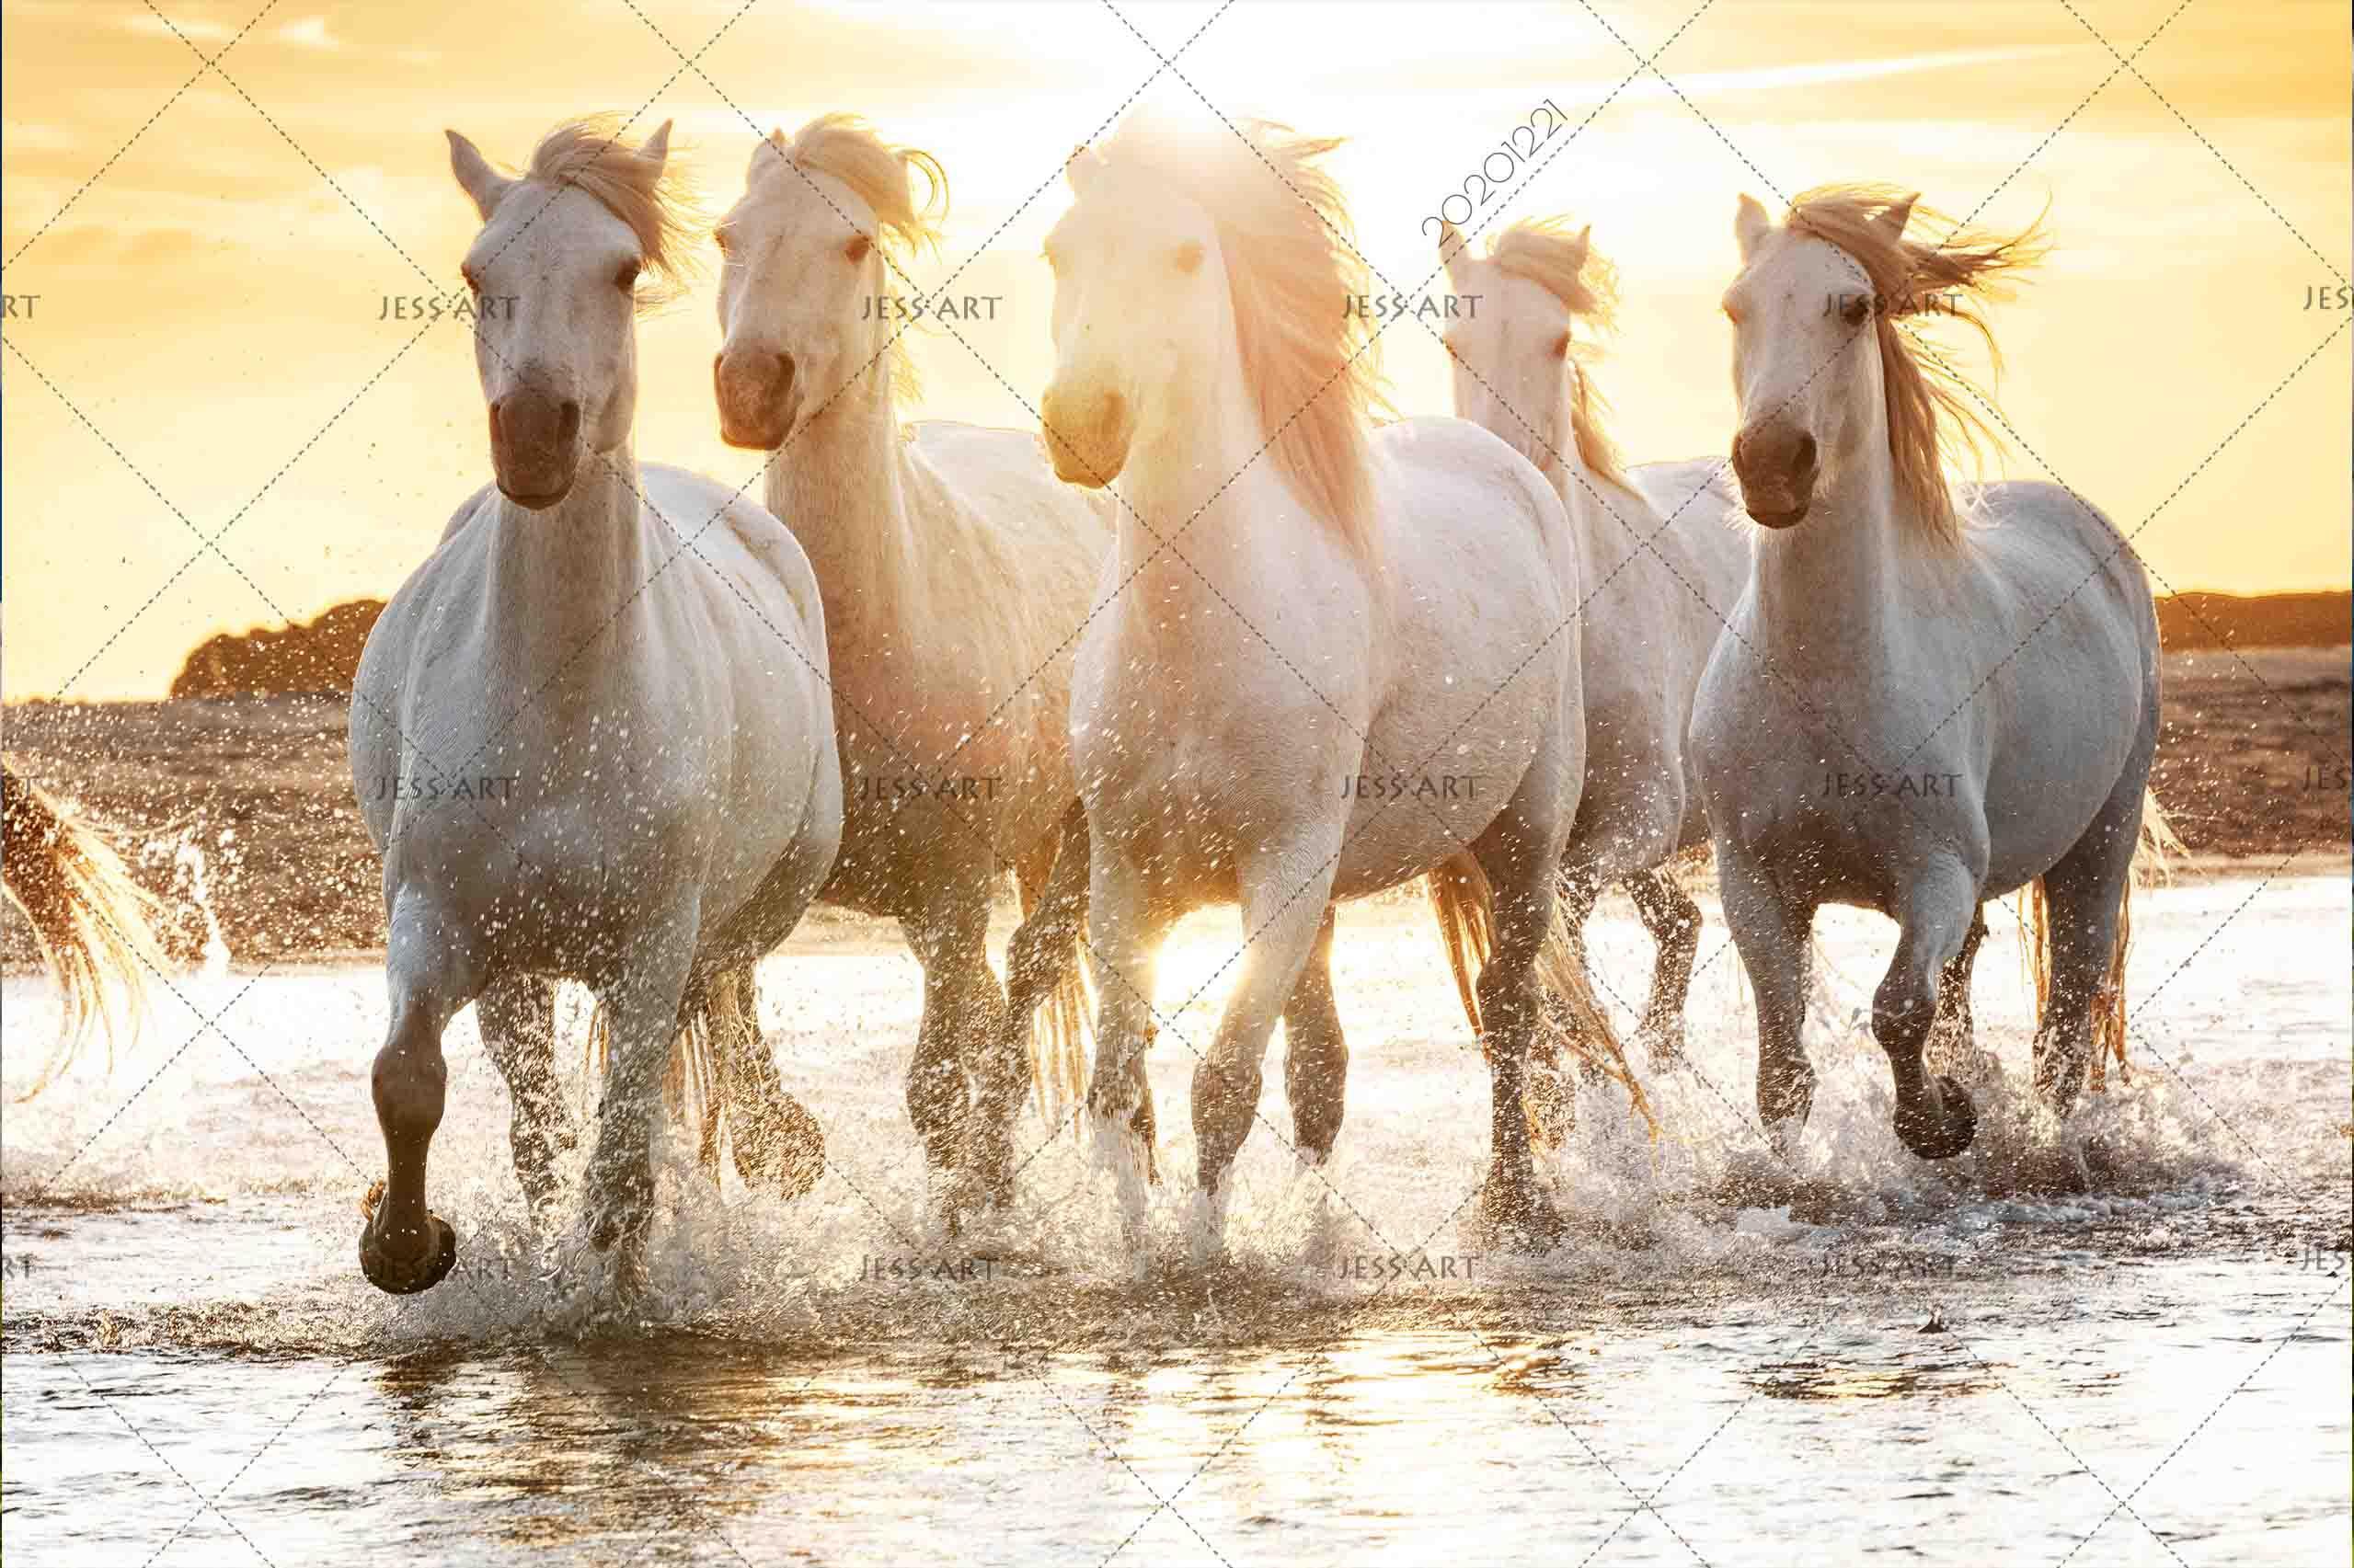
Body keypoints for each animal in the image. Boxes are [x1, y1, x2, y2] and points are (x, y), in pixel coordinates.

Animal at [348, 117, 843, 1294]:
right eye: (477, 273)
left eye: (620, 270)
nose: (535, 433)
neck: (566, 708)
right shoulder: (442, 921)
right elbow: (414, 1079)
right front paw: (408, 1243)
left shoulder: (653, 946)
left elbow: (622, 1158)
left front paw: (609, 1288)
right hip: (524, 967)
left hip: (740, 918)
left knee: (714, 1041)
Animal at [711, 114, 1116, 1221]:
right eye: (726, 235)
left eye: (853, 244)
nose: (750, 388)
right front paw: (782, 1144)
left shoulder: (953, 887)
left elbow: (936, 1084)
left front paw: (954, 1224)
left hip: (1063, 845)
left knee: (1020, 985)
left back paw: (993, 1179)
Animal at [1042, 115, 1641, 1246]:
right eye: (1059, 253)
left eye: (1184, 257)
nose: (1079, 423)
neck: (1199, 633)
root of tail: (1508, 467)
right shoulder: (1125, 875)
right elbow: (1117, 1091)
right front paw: (1134, 1246)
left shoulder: (1285, 866)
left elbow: (1221, 1084)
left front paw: (1200, 1254)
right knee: (1323, 1072)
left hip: (1525, 842)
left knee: (1508, 1013)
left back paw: (1513, 1200)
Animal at [1691, 185, 2173, 1193]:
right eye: (1734, 307)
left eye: (1852, 306)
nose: (1772, 463)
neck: (1826, 675)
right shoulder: (1752, 879)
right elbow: (1783, 1064)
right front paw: (1789, 1179)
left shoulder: (1936, 873)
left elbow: (1895, 1009)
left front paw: (1940, 1121)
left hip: (2098, 844)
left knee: (2064, 1023)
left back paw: (2046, 1148)